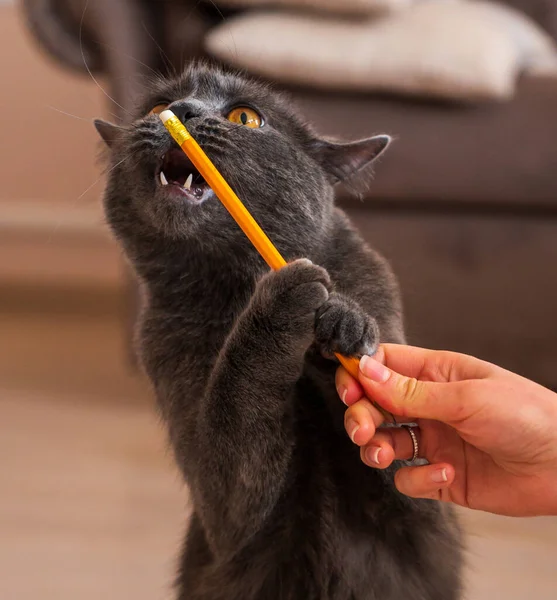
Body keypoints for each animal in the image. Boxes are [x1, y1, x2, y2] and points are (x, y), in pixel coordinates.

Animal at [94, 63, 460, 596]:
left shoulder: (426, 510)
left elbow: (403, 450)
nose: (179, 111)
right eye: (154, 106)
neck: (238, 282)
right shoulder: (223, 504)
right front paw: (290, 296)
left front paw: (345, 324)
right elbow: (234, 415)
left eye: (246, 117)